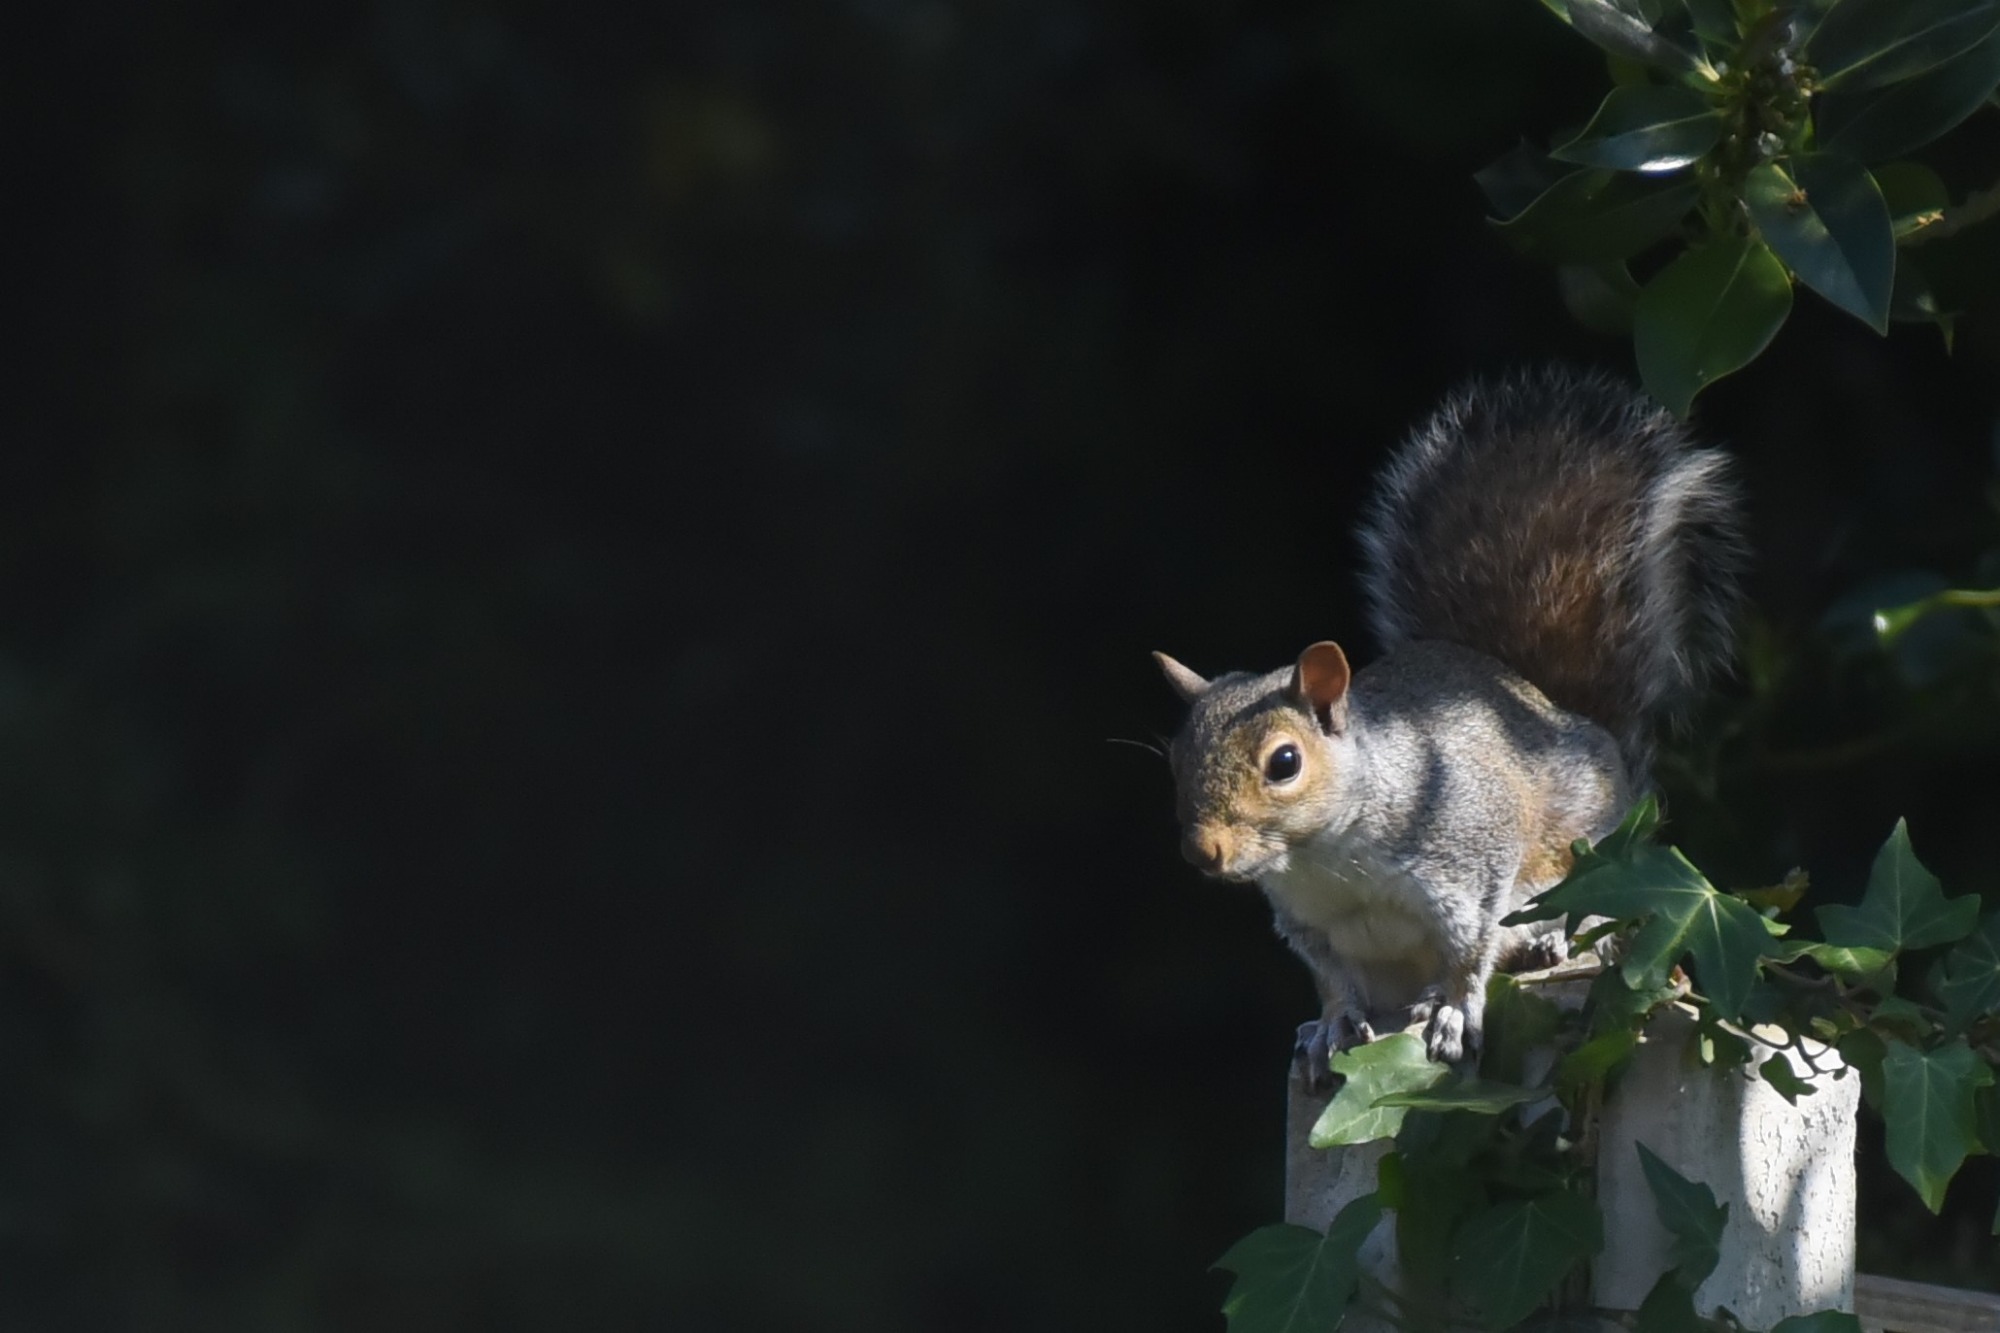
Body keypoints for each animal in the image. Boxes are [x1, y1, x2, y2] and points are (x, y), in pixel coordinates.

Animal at [1153, 367, 1744, 1077]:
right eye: (1176, 760)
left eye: (1285, 763)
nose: (1201, 851)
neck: (1327, 853)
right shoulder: (1309, 925)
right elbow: (1333, 982)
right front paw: (1331, 1025)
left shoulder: (1470, 863)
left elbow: (1470, 952)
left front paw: (1457, 1010)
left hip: (1590, 864)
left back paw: (1549, 948)